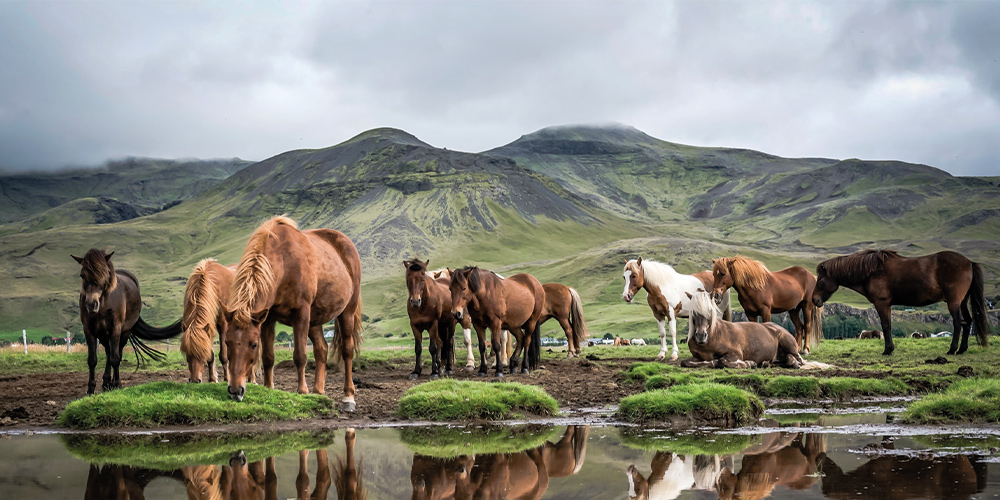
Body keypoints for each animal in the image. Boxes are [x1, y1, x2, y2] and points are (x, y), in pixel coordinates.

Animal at [72, 249, 183, 394]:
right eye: (82, 275)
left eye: (105, 274)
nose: (91, 304)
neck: (104, 303)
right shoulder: (88, 330)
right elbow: (92, 360)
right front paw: (90, 389)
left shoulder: (116, 329)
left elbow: (115, 358)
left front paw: (117, 384)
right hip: (103, 333)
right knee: (108, 352)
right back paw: (106, 382)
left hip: (124, 332)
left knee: (116, 353)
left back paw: (111, 383)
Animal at [223, 216, 363, 412]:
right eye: (227, 342)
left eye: (253, 344)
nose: (235, 390)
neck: (284, 263)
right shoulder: (268, 319)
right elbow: (268, 357)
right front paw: (269, 388)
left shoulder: (301, 313)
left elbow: (300, 355)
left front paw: (302, 390)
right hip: (314, 320)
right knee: (321, 349)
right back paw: (318, 392)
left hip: (346, 312)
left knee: (347, 351)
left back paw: (348, 397)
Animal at [813, 249, 991, 356]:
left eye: (820, 280)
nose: (815, 300)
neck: (871, 271)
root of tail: (969, 262)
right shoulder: (887, 305)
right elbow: (889, 326)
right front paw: (890, 349)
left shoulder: (882, 303)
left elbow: (886, 326)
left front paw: (887, 350)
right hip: (963, 301)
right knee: (968, 322)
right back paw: (962, 350)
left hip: (953, 302)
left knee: (957, 323)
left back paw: (952, 350)